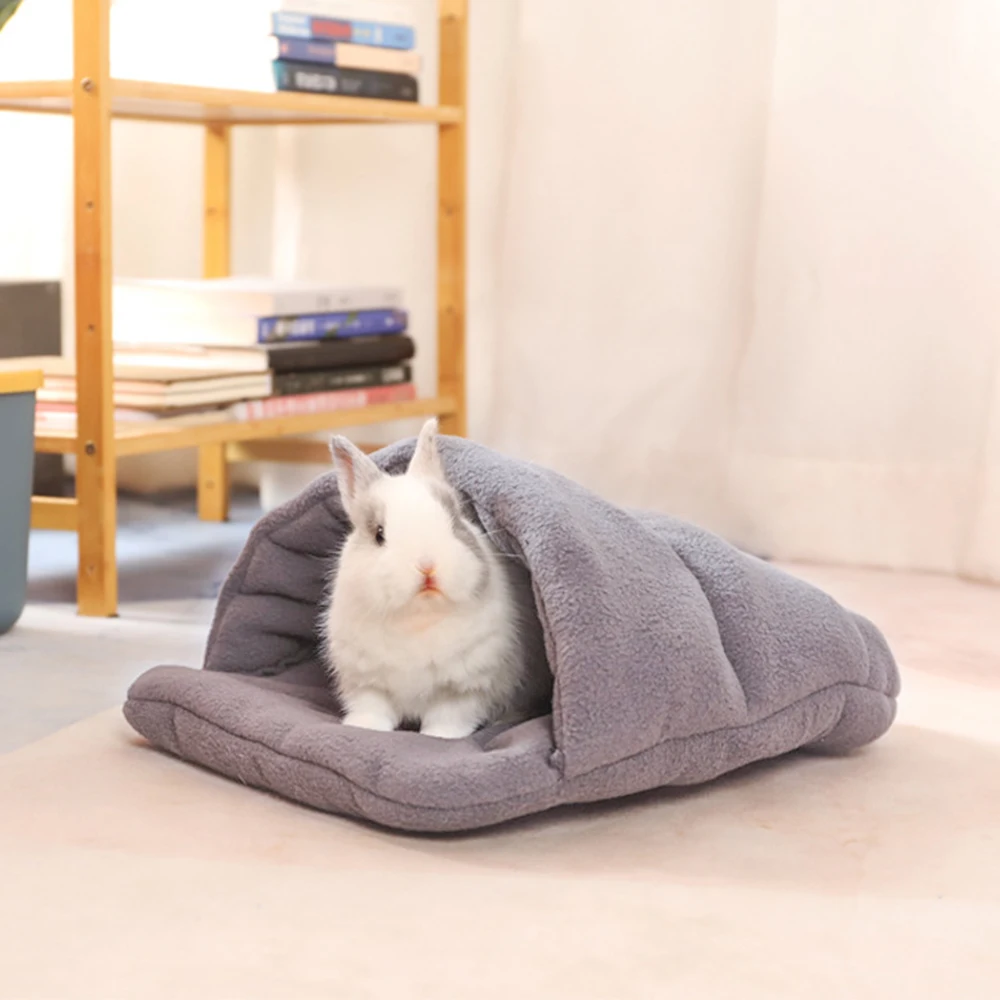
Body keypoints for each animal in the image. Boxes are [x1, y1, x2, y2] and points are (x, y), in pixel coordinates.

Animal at [323, 418, 551, 739]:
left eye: (456, 522)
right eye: (379, 534)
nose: (427, 566)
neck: (418, 621)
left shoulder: (466, 688)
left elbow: (449, 716)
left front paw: (439, 737)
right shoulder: (365, 681)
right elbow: (373, 708)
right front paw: (364, 727)